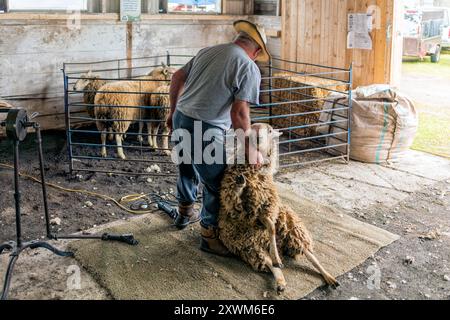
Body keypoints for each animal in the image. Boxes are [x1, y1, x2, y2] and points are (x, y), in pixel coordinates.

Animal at [218, 124, 338, 294]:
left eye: (269, 131)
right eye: (251, 128)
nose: (256, 137)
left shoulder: (266, 207)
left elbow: (271, 227)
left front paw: (275, 252)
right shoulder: (238, 205)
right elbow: (235, 199)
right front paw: (240, 183)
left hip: (293, 230)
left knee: (310, 255)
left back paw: (328, 276)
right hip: (252, 248)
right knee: (271, 265)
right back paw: (280, 279)